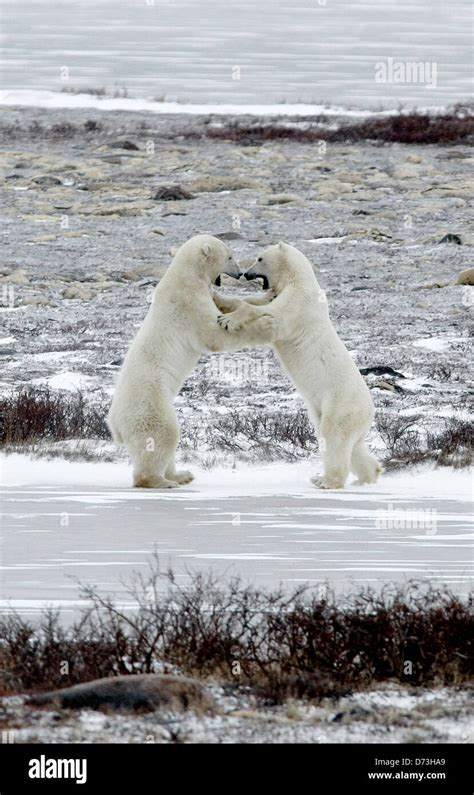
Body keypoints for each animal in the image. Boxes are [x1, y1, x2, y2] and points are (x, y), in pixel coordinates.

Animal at [108, 233, 276, 488]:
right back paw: (160, 480)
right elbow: (214, 335)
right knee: (162, 434)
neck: (185, 277)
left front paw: (269, 296)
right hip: (150, 403)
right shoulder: (189, 305)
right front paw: (264, 325)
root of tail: (114, 423)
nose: (239, 273)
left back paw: (181, 475)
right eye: (229, 256)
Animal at [217, 241, 384, 492]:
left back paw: (325, 481)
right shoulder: (279, 294)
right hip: (327, 411)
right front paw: (219, 300)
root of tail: (370, 411)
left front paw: (228, 320)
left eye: (260, 258)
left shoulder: (297, 304)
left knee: (333, 437)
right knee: (352, 445)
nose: (246, 274)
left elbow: (271, 318)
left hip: (341, 405)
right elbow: (258, 301)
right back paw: (367, 476)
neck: (299, 279)